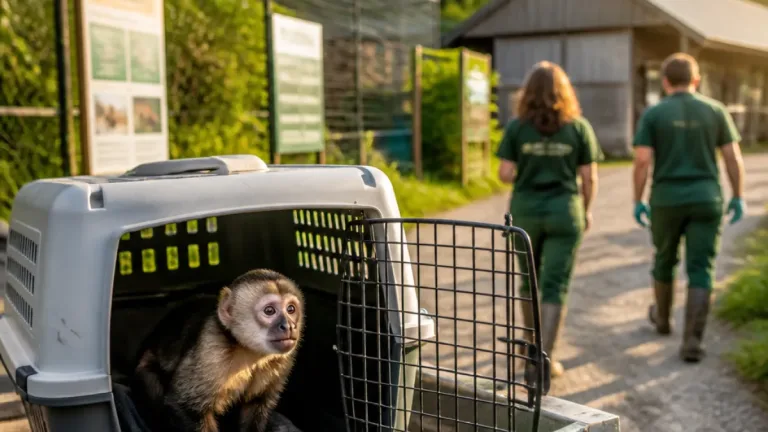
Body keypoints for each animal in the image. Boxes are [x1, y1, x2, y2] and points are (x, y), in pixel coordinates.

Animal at [130, 269, 304, 432]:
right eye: (269, 311)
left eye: (290, 309)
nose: (289, 326)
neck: (248, 351)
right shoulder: (212, 350)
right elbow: (182, 405)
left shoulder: (281, 361)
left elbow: (256, 405)